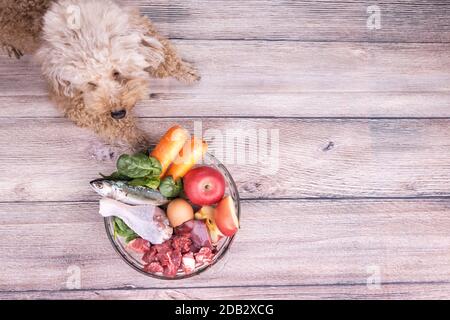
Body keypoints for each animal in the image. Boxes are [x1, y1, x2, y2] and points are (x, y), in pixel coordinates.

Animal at [0, 0, 199, 150]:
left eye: (117, 72)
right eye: (90, 84)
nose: (118, 113)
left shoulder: (136, 21)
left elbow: (163, 51)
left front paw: (183, 70)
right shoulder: (72, 101)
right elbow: (110, 122)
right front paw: (139, 141)